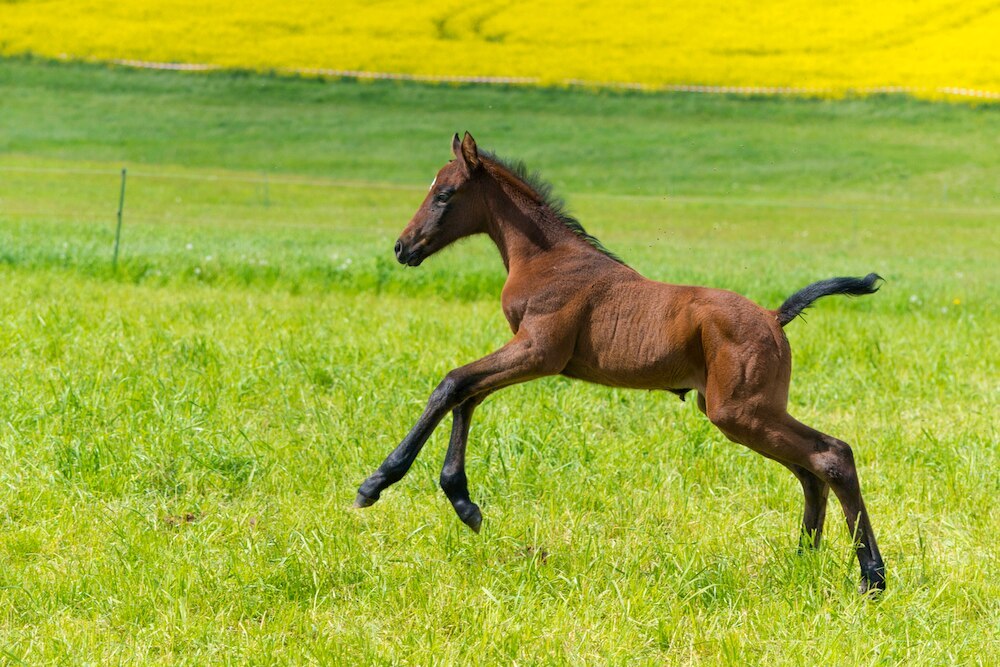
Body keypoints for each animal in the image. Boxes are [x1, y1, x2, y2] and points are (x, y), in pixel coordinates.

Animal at [354, 132, 886, 593]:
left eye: (444, 194)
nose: (403, 247)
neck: (547, 259)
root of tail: (775, 316)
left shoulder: (539, 351)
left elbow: (452, 383)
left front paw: (377, 482)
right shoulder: (529, 353)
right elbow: (468, 394)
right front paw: (463, 502)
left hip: (739, 411)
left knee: (832, 455)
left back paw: (871, 577)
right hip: (747, 411)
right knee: (810, 470)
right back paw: (803, 562)